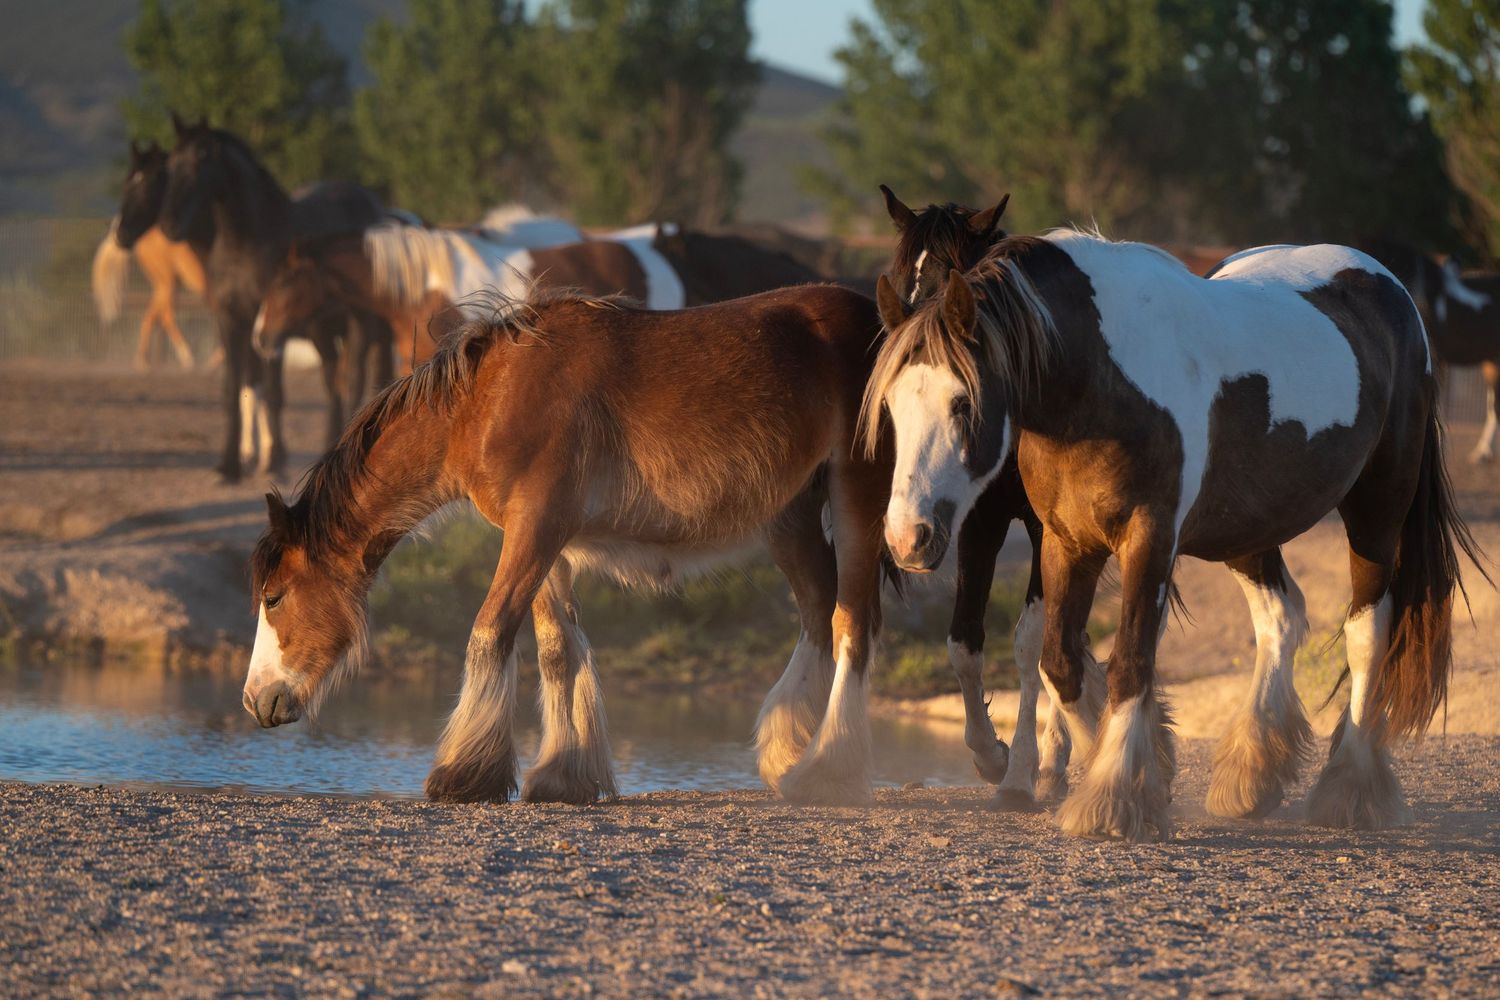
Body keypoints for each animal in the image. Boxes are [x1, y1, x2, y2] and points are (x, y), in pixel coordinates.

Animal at [119, 117, 389, 479]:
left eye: (201, 158)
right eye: (172, 165)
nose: (121, 233)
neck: (244, 242)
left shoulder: (271, 323)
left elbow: (270, 391)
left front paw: (272, 460)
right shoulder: (234, 320)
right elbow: (240, 387)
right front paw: (233, 463)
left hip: (361, 323)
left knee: (356, 380)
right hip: (324, 330)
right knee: (335, 382)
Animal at [242, 285, 893, 807]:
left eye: (273, 598)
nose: (255, 700)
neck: (485, 404)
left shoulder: (536, 528)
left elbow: (490, 631)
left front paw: (463, 773)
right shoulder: (542, 541)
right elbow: (558, 649)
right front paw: (563, 774)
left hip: (858, 493)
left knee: (851, 623)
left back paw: (828, 772)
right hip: (792, 516)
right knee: (819, 612)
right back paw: (789, 755)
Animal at [866, 227, 1482, 841]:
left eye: (961, 402)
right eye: (891, 404)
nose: (907, 537)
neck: (1099, 378)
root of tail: (1390, 288)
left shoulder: (1149, 540)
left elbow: (1130, 660)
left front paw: (1112, 796)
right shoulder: (1067, 543)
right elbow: (1060, 663)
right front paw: (1141, 775)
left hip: (1378, 510)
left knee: (1365, 633)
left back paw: (1349, 788)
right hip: (1248, 530)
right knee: (1281, 617)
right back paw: (1251, 777)